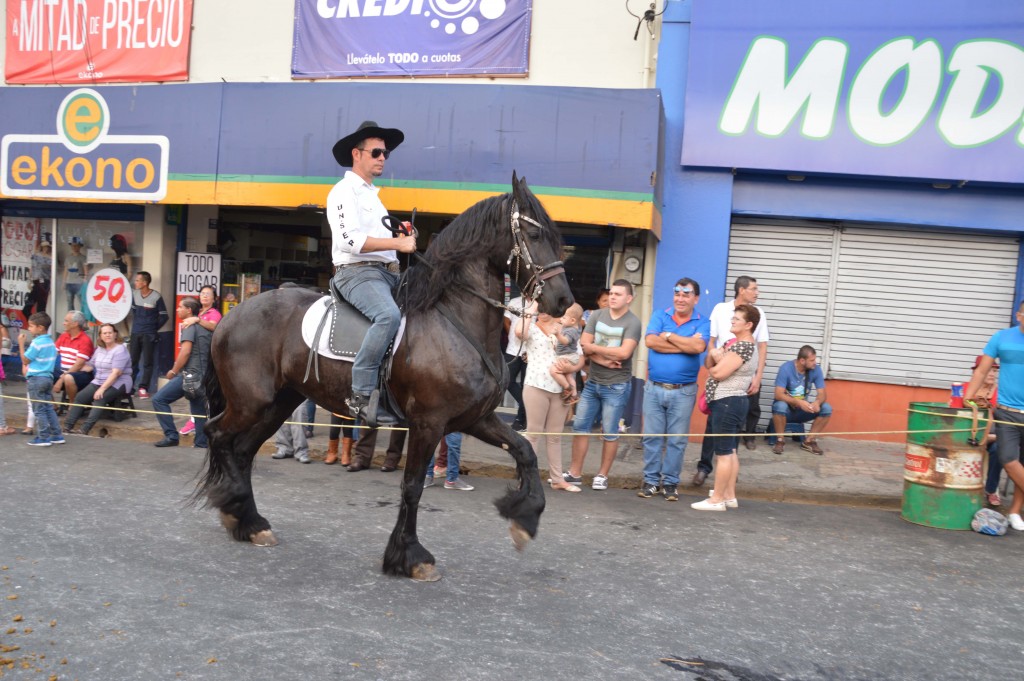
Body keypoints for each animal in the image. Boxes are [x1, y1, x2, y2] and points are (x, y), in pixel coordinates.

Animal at [193, 174, 577, 577]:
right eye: (534, 235)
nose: (563, 301)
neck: (454, 320)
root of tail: (228, 316)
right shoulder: (428, 423)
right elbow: (412, 487)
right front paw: (410, 556)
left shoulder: (475, 418)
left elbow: (525, 451)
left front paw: (525, 518)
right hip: (251, 401)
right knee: (217, 434)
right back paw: (234, 502)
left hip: (279, 403)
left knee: (242, 449)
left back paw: (250, 521)